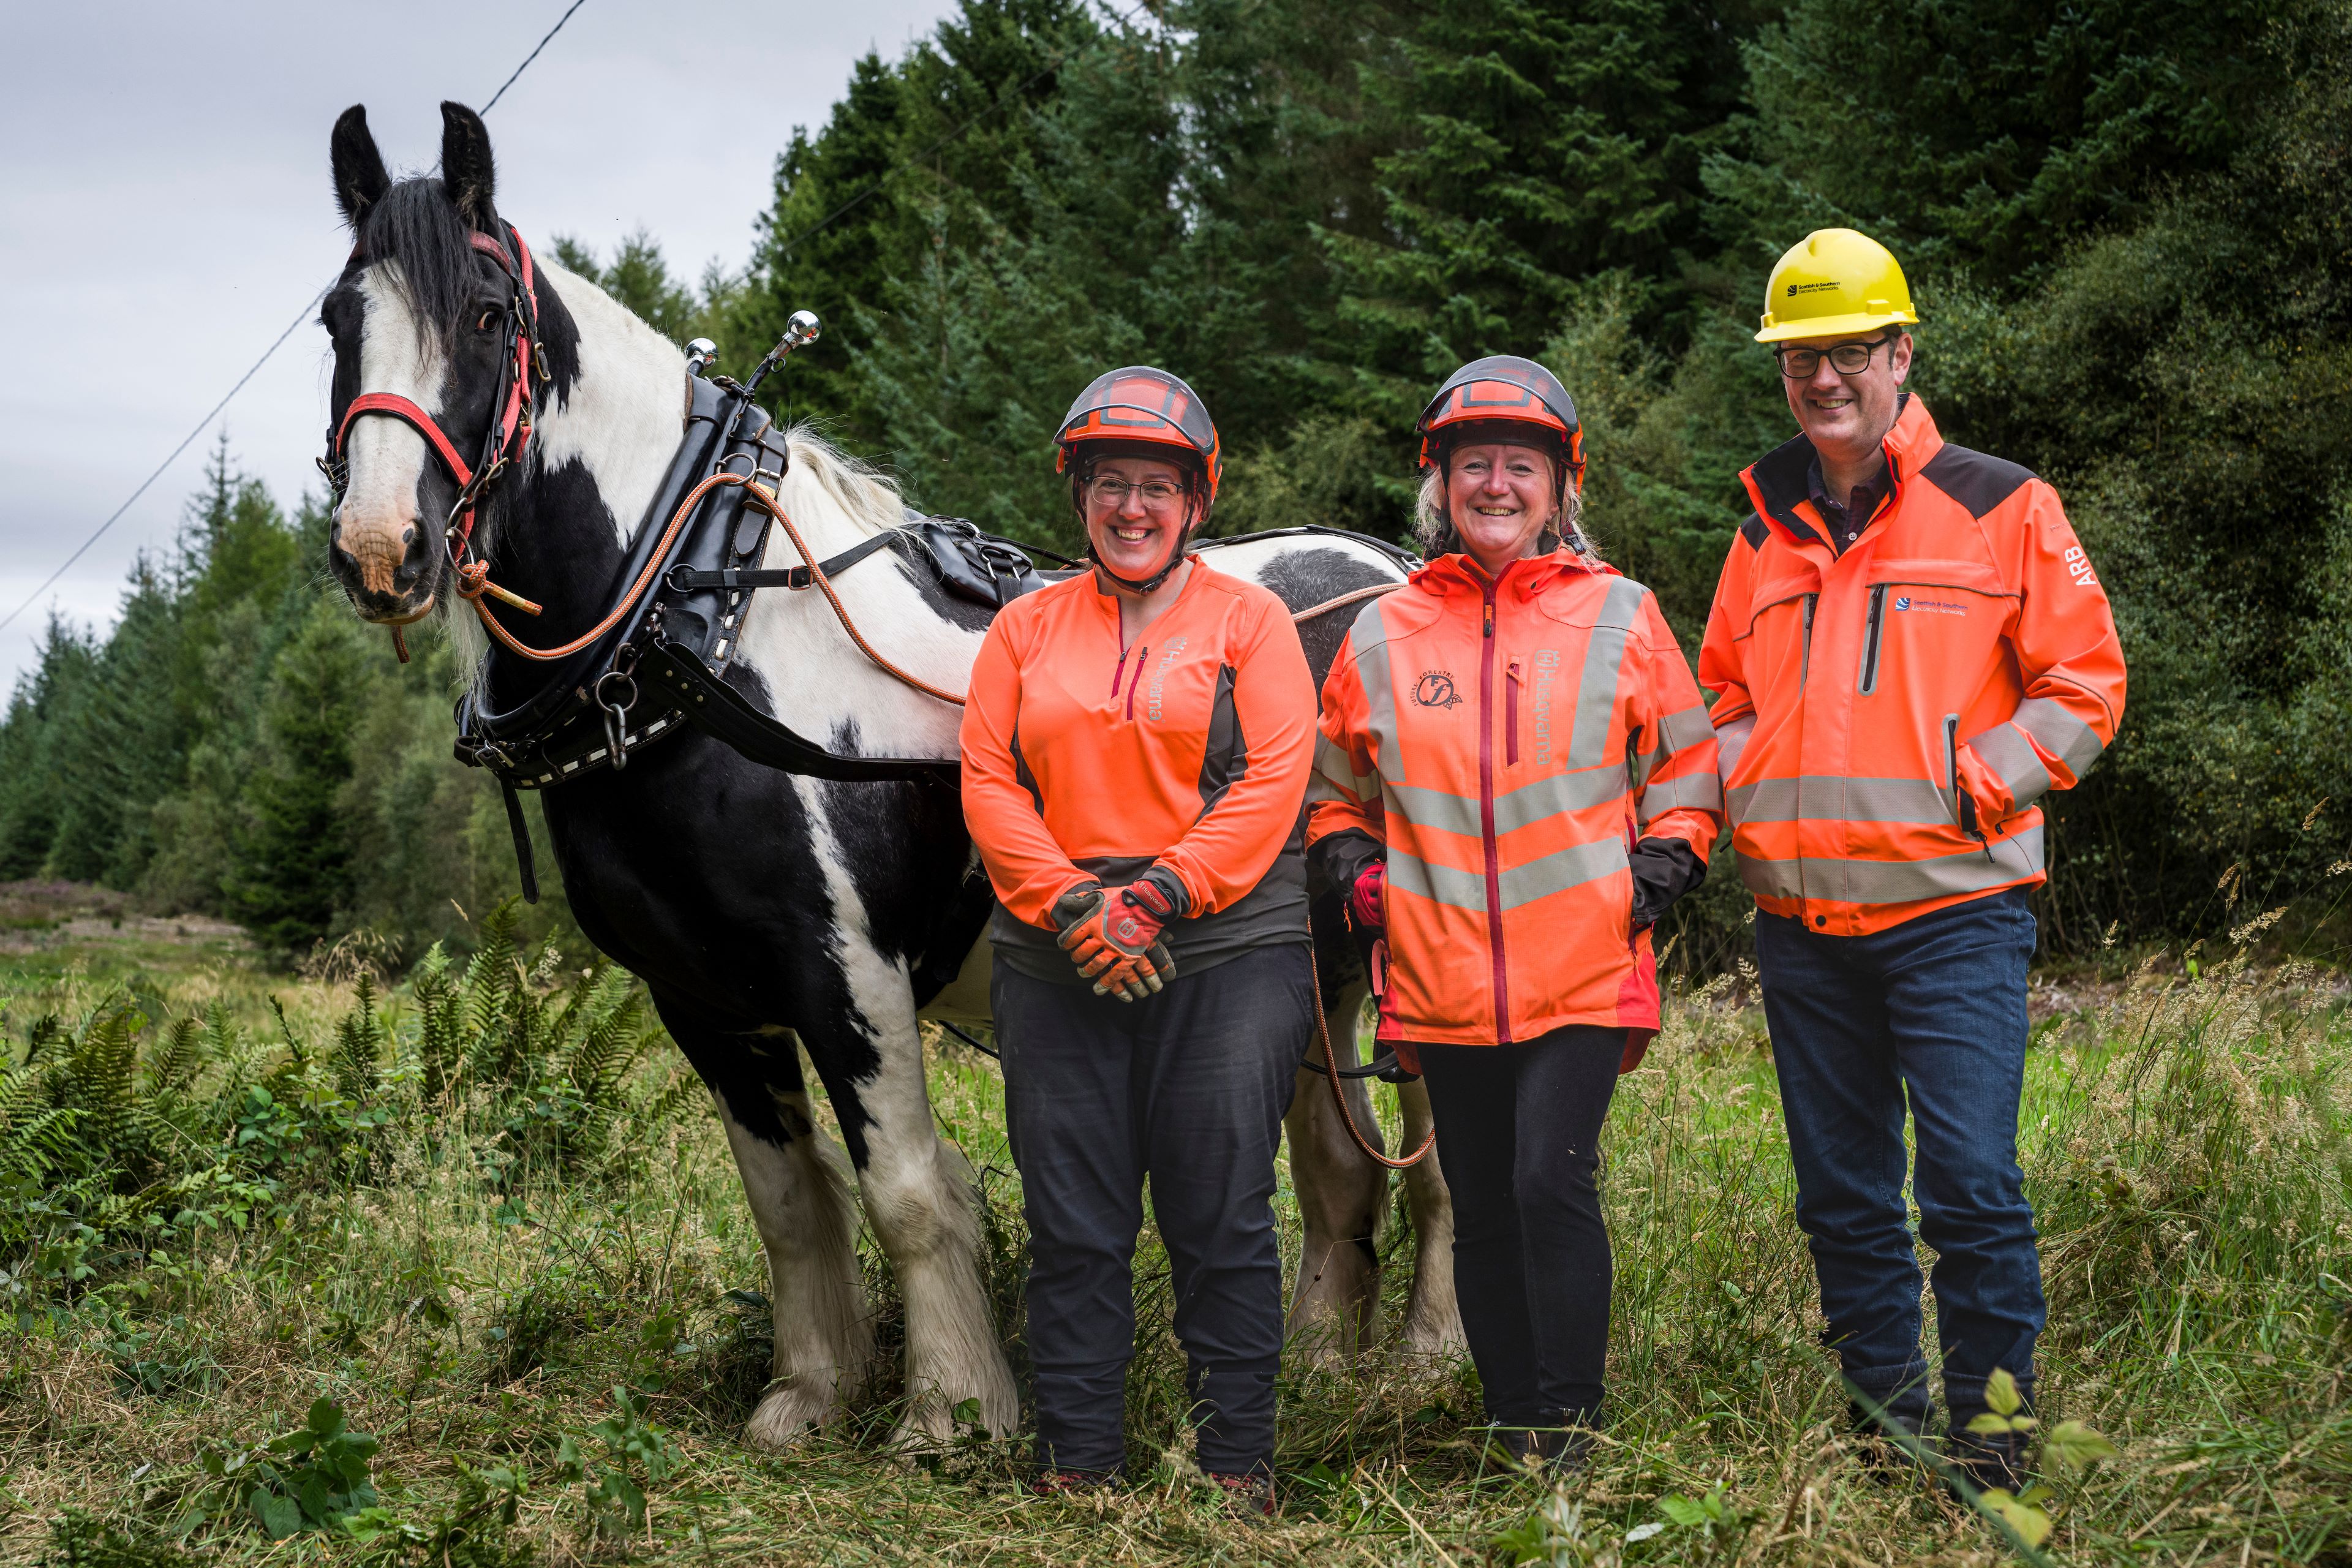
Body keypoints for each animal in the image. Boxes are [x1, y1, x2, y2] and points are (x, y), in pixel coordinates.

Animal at [312, 98, 1449, 1448]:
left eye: (487, 315)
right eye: (337, 320)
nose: (383, 548)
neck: (705, 628)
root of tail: (1386, 565)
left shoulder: (848, 967)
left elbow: (905, 1186)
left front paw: (954, 1411)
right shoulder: (698, 991)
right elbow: (790, 1201)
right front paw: (809, 1392)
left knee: (1436, 1169)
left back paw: (1434, 1356)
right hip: (1318, 969)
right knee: (1341, 1163)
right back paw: (1324, 1363)